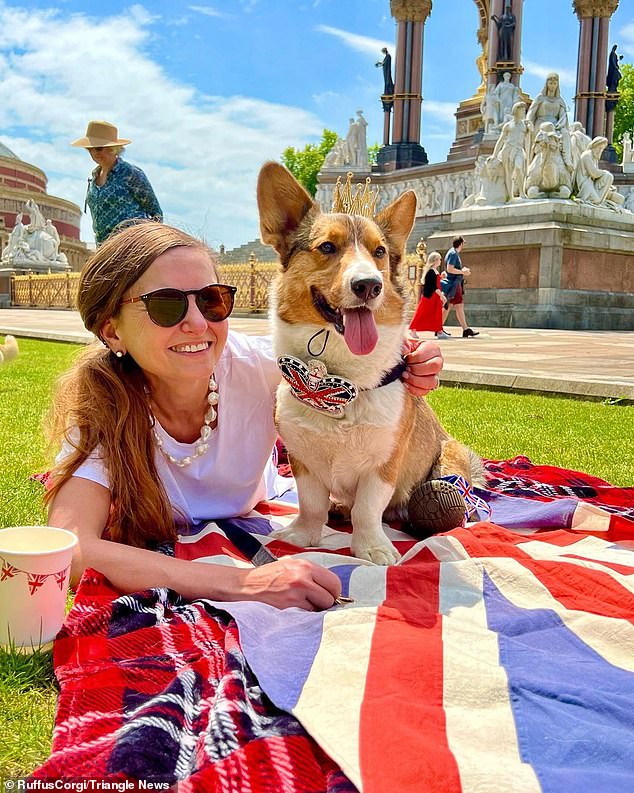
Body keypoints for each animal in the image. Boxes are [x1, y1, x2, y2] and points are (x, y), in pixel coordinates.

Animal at [254, 162, 482, 564]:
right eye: (327, 247)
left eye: (379, 252)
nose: (369, 285)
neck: (339, 376)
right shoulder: (304, 461)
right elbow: (311, 504)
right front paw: (302, 535)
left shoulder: (383, 465)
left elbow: (367, 509)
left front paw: (372, 549)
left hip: (449, 455)